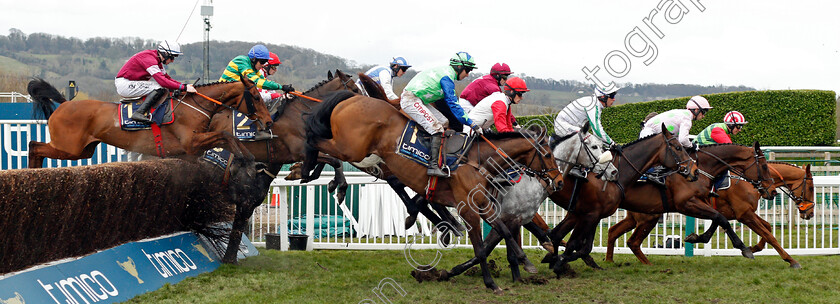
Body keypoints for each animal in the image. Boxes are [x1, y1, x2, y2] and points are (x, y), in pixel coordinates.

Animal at [26, 75, 270, 166]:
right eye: (257, 97)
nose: (268, 122)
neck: (196, 105)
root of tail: (63, 104)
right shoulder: (190, 144)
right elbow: (225, 134)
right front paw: (245, 155)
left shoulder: (193, 149)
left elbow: (226, 137)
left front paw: (247, 155)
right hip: (69, 148)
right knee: (34, 145)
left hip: (84, 150)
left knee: (36, 147)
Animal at [302, 91, 564, 294]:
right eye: (547, 154)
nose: (559, 181)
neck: (479, 160)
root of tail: (353, 97)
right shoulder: (468, 210)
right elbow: (480, 248)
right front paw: (491, 283)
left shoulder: (485, 205)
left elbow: (505, 232)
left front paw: (526, 261)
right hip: (352, 148)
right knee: (314, 139)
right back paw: (310, 169)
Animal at [540, 128, 700, 276]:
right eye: (678, 147)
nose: (695, 171)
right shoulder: (590, 214)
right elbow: (574, 243)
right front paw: (558, 263)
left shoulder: (587, 214)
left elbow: (575, 242)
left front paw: (554, 260)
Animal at [608, 163, 812, 268]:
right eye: (810, 187)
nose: (809, 213)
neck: (750, 182)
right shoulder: (744, 214)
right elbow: (769, 235)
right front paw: (791, 260)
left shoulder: (737, 213)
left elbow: (766, 228)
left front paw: (753, 248)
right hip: (648, 218)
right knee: (633, 241)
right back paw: (645, 263)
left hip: (635, 218)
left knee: (613, 231)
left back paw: (610, 260)